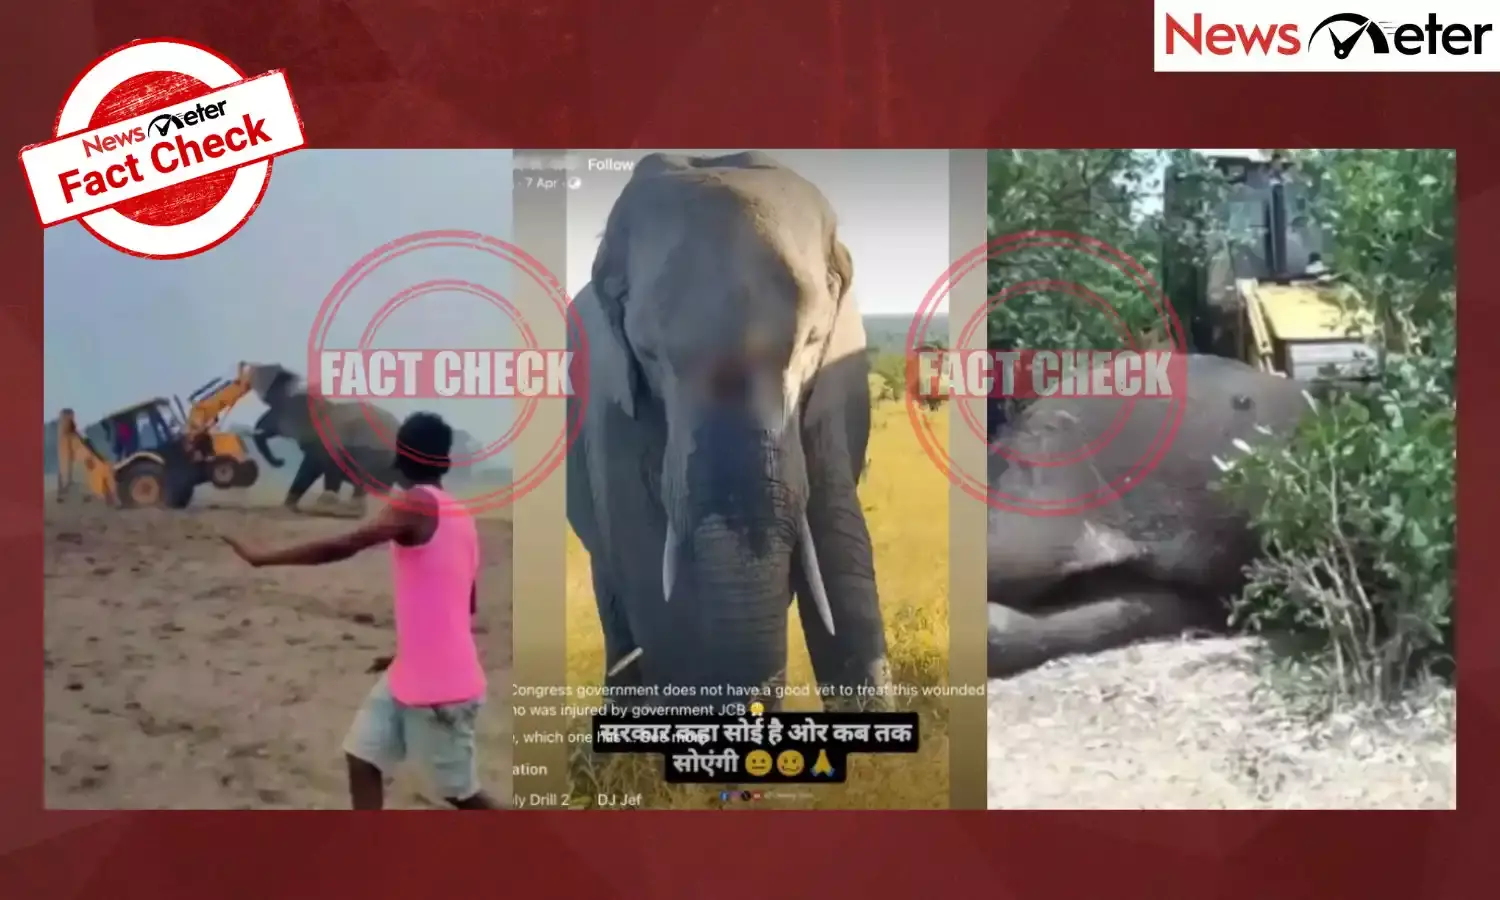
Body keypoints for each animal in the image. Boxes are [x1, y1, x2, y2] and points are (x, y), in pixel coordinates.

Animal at [246, 364, 403, 512]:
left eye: (275, 411)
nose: (281, 461)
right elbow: (308, 470)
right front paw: (289, 507)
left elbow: (322, 467)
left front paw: (323, 506)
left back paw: (352, 509)